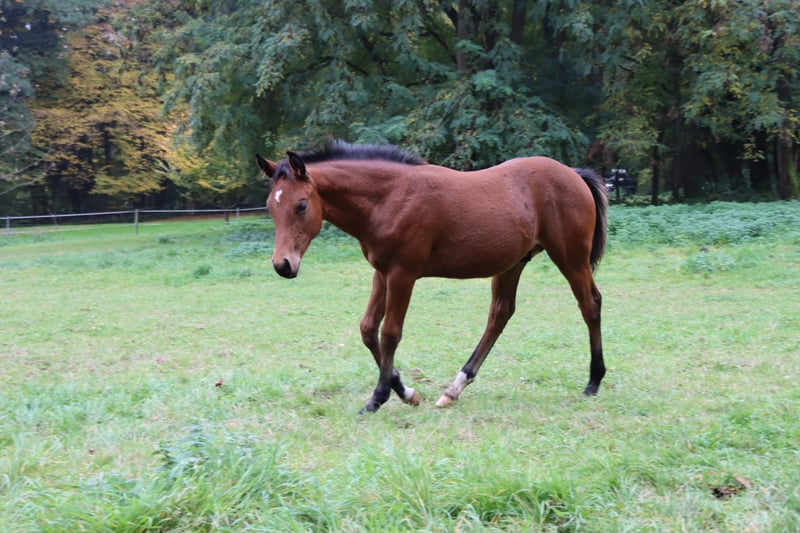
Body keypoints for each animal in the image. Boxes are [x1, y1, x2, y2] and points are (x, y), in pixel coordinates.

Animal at [255, 140, 608, 413]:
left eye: (301, 205)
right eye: (270, 206)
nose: (283, 265)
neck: (389, 197)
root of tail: (573, 174)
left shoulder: (403, 274)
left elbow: (390, 333)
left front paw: (378, 398)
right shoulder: (382, 273)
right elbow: (368, 329)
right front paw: (406, 392)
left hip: (570, 258)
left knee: (590, 304)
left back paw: (593, 381)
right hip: (513, 264)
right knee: (500, 314)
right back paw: (454, 389)